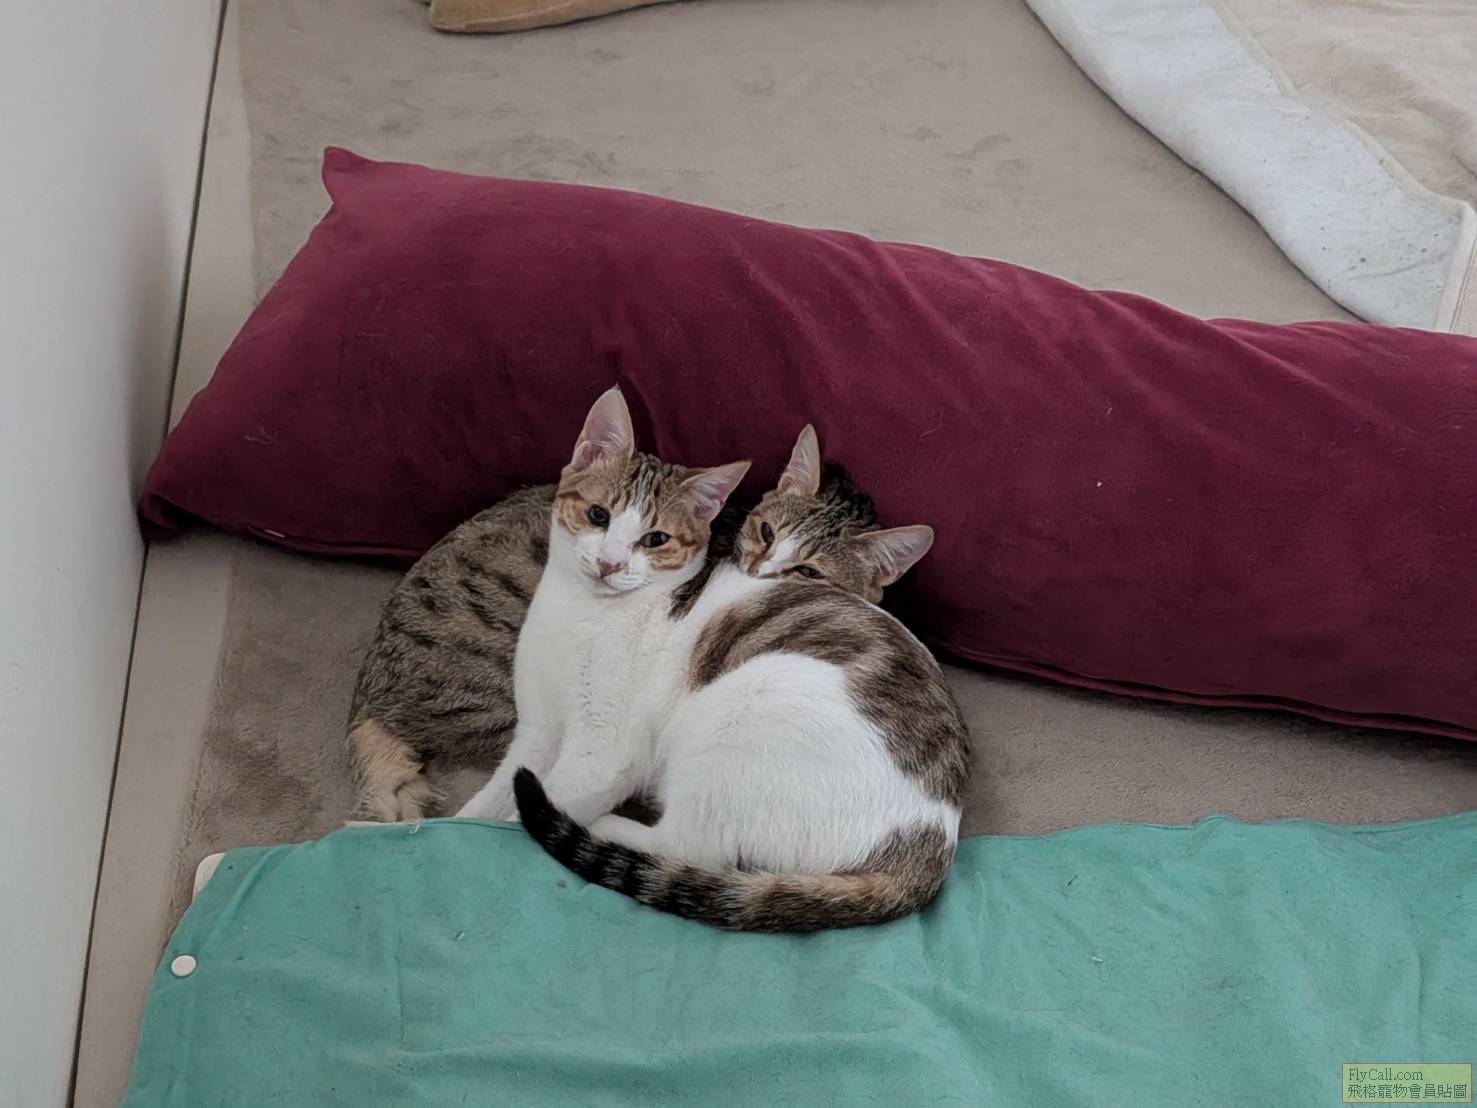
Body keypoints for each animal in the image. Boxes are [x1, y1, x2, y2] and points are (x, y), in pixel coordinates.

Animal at [458, 388, 969, 931]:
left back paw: (603, 824)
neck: (581, 611)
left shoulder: (604, 751)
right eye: (598, 516)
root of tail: (929, 846)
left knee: (686, 845)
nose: (609, 563)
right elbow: (479, 806)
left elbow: (523, 810)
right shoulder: (535, 734)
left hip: (740, 716)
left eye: (654, 539)